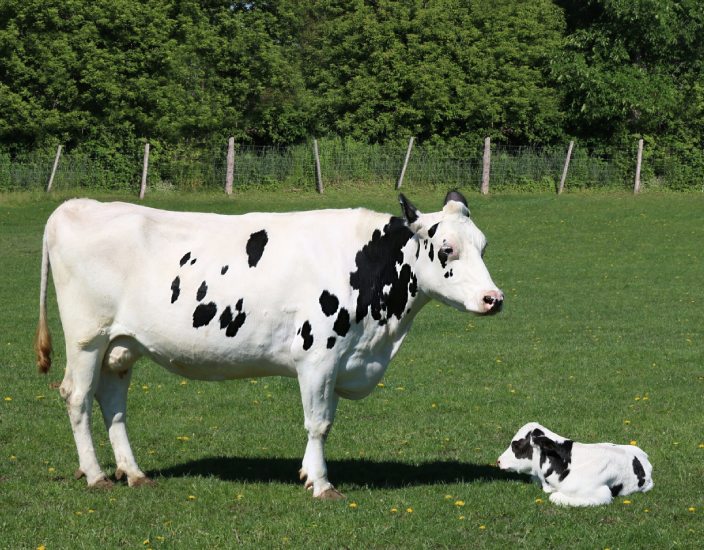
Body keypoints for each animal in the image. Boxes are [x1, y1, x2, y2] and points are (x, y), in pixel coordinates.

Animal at [35, 191, 504, 500]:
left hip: (121, 346)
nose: (493, 299)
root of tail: (76, 205)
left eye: (483, 245)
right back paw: (95, 475)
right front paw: (322, 484)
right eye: (447, 248)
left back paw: (132, 473)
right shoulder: (318, 355)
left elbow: (325, 420)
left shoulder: (339, 359)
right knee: (77, 396)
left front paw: (308, 473)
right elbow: (319, 424)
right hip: (87, 337)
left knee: (112, 403)